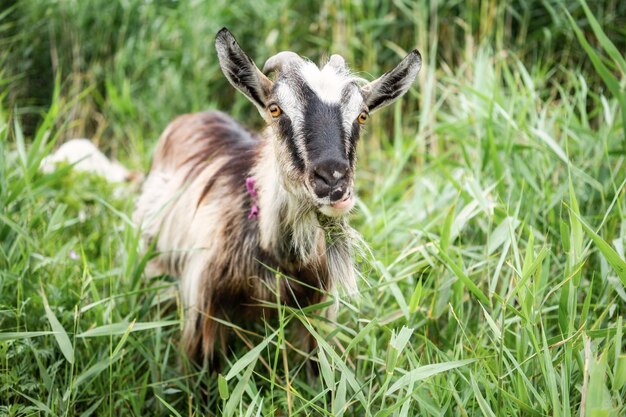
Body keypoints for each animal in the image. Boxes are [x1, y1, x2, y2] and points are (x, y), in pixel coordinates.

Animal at [133, 28, 420, 364]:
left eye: (362, 116)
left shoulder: (316, 310)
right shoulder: (202, 311)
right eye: (275, 109)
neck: (277, 255)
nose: (332, 180)